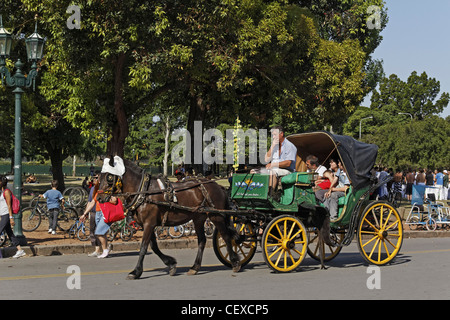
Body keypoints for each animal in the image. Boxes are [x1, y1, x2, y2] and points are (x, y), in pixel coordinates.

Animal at [97, 159, 241, 278]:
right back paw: (195, 267)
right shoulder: (147, 224)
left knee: (226, 237)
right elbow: (154, 246)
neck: (143, 192)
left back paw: (235, 262)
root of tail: (218, 186)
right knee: (202, 241)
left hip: (216, 216)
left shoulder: (149, 223)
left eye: (109, 177)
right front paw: (171, 264)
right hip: (198, 218)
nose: (98, 198)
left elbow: (143, 247)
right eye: (99, 177)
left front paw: (136, 271)